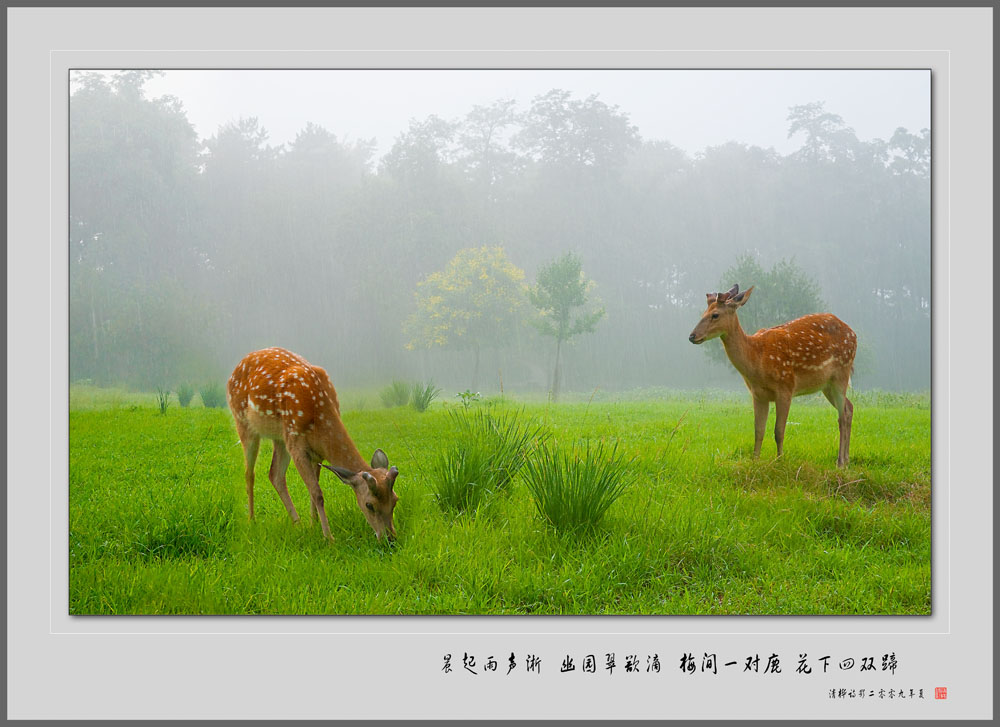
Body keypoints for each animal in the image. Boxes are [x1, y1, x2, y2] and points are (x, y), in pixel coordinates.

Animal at [227, 346, 398, 540]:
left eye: (395, 500)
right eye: (369, 505)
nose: (390, 538)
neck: (319, 415)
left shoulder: (317, 452)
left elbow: (312, 489)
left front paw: (313, 524)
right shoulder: (296, 444)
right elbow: (317, 493)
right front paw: (329, 538)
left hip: (280, 438)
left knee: (275, 474)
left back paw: (297, 523)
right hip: (244, 423)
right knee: (250, 473)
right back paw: (251, 520)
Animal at [688, 284, 860, 466]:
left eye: (715, 315)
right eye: (703, 313)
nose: (692, 336)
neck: (757, 362)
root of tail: (854, 334)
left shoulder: (786, 387)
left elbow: (779, 431)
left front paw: (780, 462)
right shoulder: (758, 395)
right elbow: (758, 430)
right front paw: (755, 462)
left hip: (842, 372)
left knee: (842, 416)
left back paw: (840, 462)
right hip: (826, 385)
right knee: (849, 408)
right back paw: (846, 460)